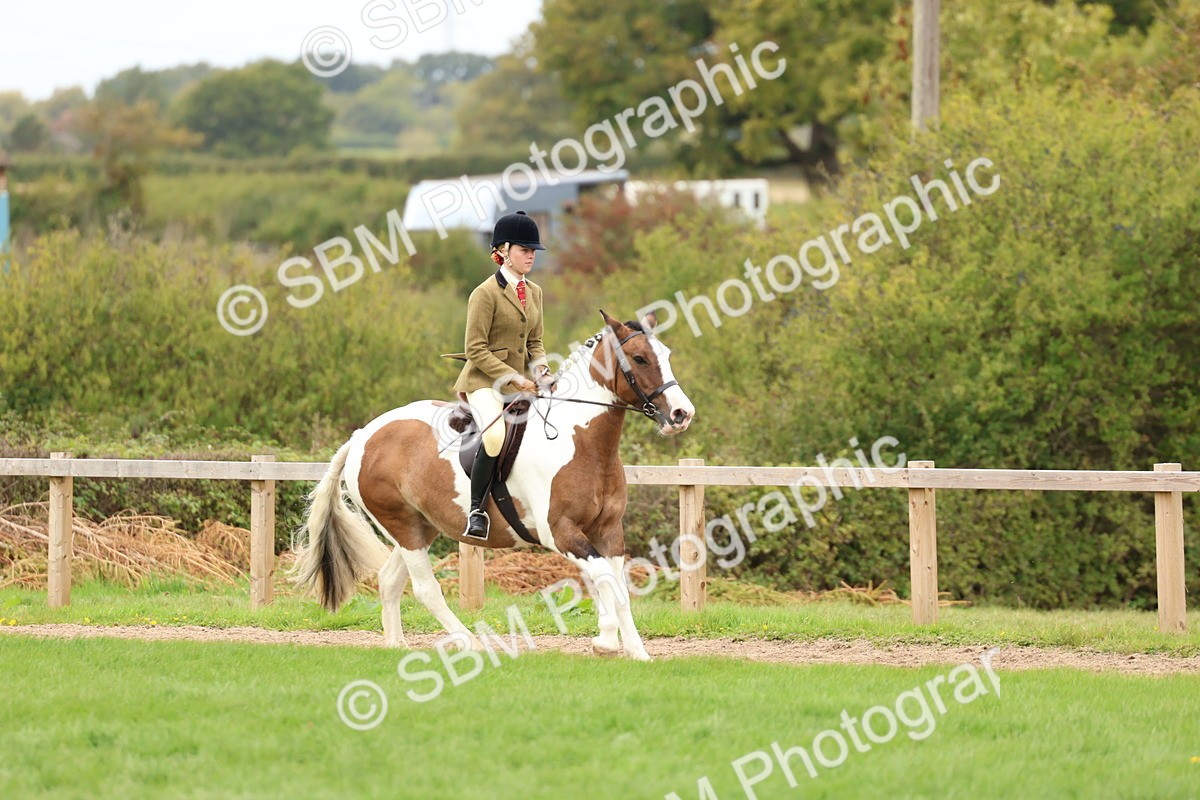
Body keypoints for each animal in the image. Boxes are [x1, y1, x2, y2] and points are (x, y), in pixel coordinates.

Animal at [291, 310, 695, 660]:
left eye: (667, 355)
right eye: (640, 359)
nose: (682, 414)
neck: (582, 440)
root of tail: (362, 435)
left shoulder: (609, 531)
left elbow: (618, 587)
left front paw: (637, 653)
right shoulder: (560, 532)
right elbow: (605, 580)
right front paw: (606, 642)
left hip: (422, 526)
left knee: (390, 580)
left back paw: (397, 645)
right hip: (400, 523)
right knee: (425, 588)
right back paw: (470, 643)